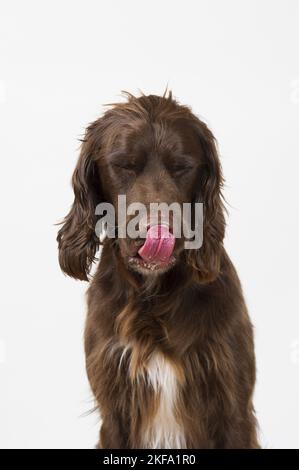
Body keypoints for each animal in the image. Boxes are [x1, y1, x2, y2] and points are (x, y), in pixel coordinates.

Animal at [57, 91, 258, 448]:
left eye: (182, 167)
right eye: (123, 165)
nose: (156, 228)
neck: (152, 293)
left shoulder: (232, 406)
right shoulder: (115, 411)